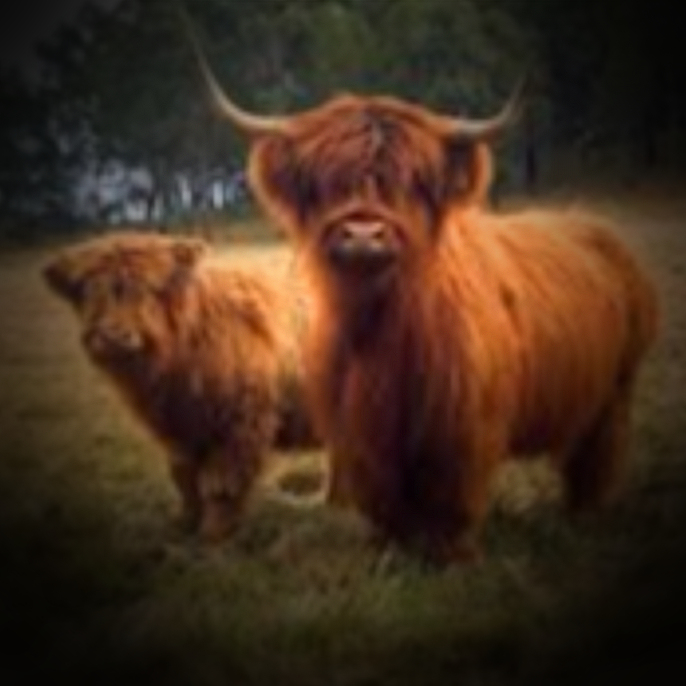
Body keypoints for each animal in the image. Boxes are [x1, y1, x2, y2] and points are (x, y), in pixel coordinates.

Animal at [42, 232, 317, 542]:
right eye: (88, 290)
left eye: (149, 289)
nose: (113, 336)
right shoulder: (178, 430)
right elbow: (183, 478)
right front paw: (184, 522)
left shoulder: (241, 424)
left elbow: (224, 482)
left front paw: (214, 533)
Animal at [185, 35, 659, 562]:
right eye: (329, 181)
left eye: (409, 182)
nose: (363, 234)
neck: (381, 331)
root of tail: (594, 227)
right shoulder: (360, 433)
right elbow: (382, 499)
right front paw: (387, 548)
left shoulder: (464, 429)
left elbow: (451, 499)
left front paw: (450, 555)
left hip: (614, 394)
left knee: (595, 459)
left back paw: (582, 517)